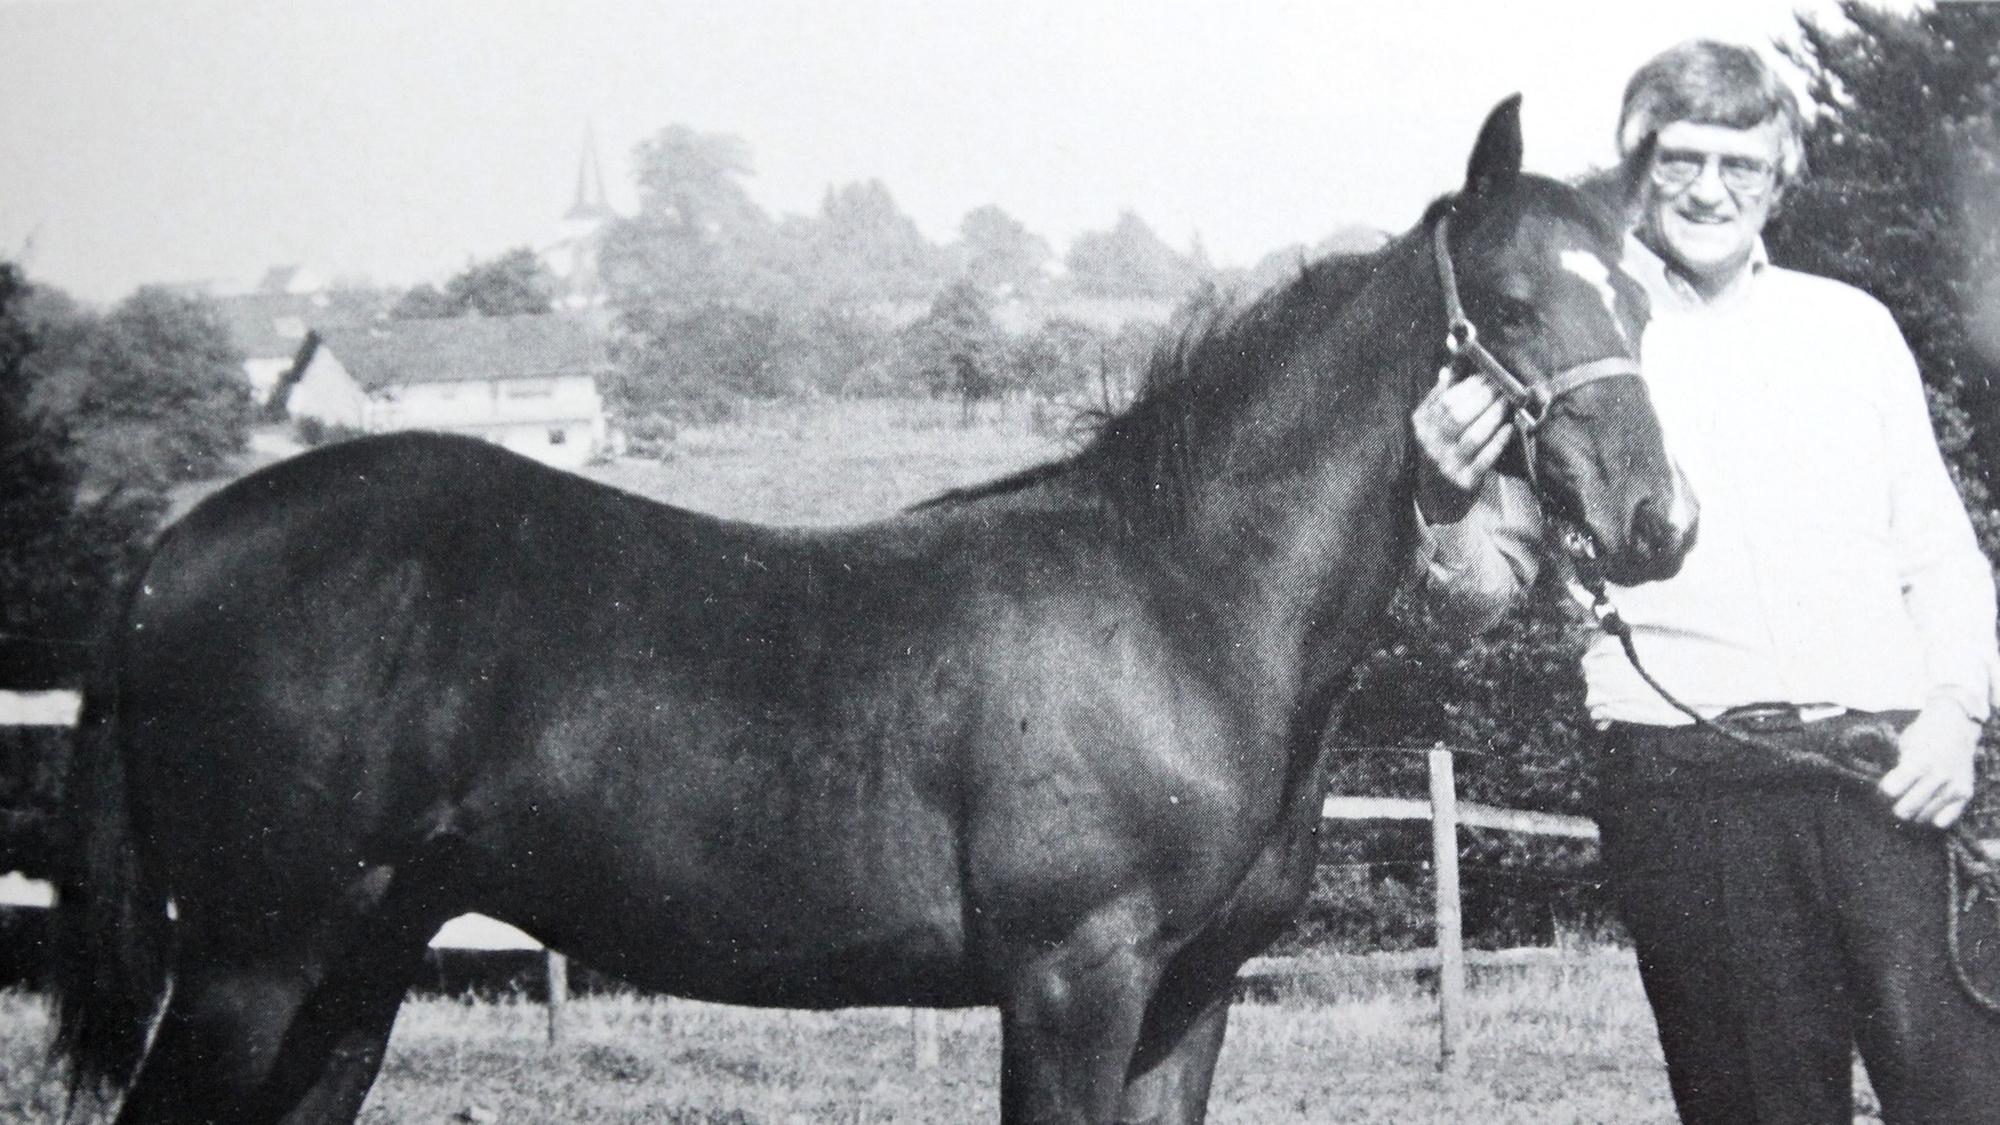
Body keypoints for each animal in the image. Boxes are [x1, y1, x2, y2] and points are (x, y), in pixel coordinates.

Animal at [51, 96, 1696, 1125]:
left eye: (1641, 299)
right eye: (1516, 304)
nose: (1658, 524)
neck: (1185, 602)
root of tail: (168, 555)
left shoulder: (1189, 997)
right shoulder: (1070, 981)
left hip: (356, 966)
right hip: (256, 965)